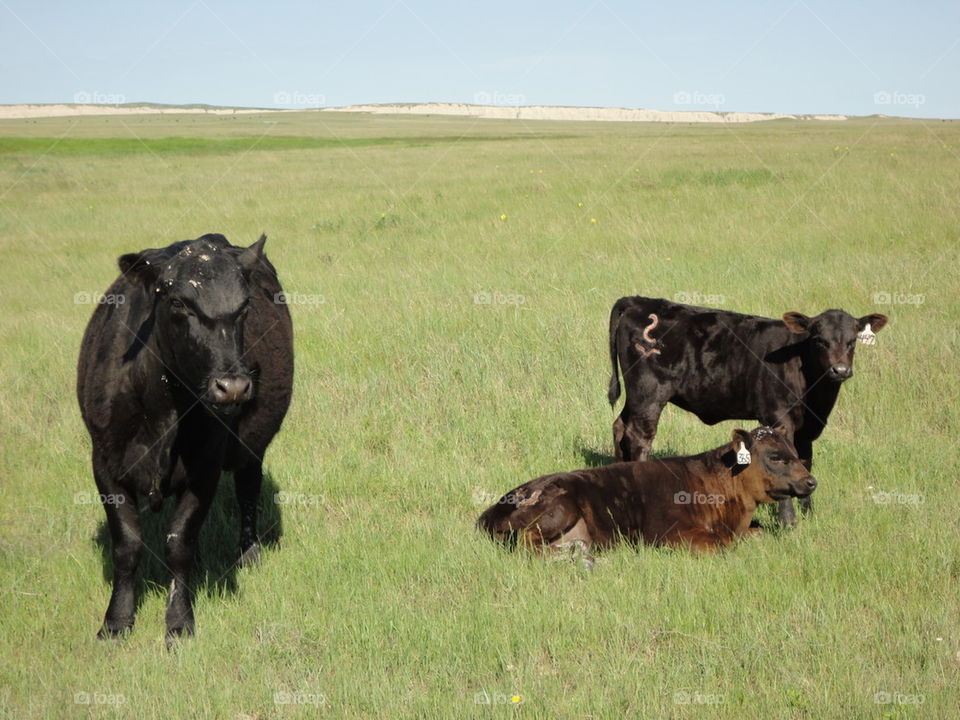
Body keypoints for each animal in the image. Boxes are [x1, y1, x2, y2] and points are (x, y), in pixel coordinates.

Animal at [77, 233, 294, 642]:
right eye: (178, 302)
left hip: (252, 443)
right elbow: (127, 544)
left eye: (244, 306)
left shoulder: (204, 467)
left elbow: (179, 542)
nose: (233, 386)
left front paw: (179, 622)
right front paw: (116, 621)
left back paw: (248, 552)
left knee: (248, 489)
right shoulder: (105, 464)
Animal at [478, 426, 816, 560]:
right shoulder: (671, 535)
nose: (811, 481)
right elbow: (720, 546)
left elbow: (759, 533)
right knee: (527, 544)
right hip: (559, 508)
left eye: (796, 452)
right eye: (775, 456)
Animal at [607, 296, 886, 524]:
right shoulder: (778, 417)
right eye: (819, 340)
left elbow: (806, 460)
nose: (839, 370)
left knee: (620, 427)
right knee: (639, 438)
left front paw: (809, 515)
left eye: (852, 341)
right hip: (649, 394)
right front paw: (788, 521)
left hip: (636, 397)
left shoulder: (808, 428)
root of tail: (638, 301)